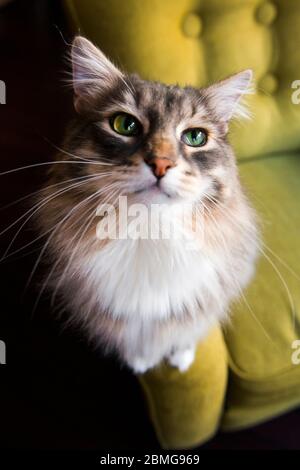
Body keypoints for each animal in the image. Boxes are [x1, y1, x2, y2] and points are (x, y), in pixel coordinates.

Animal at [37, 35, 258, 374]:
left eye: (196, 137)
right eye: (124, 124)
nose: (161, 164)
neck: (150, 231)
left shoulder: (199, 302)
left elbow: (184, 332)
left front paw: (181, 357)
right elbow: (137, 342)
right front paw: (141, 362)